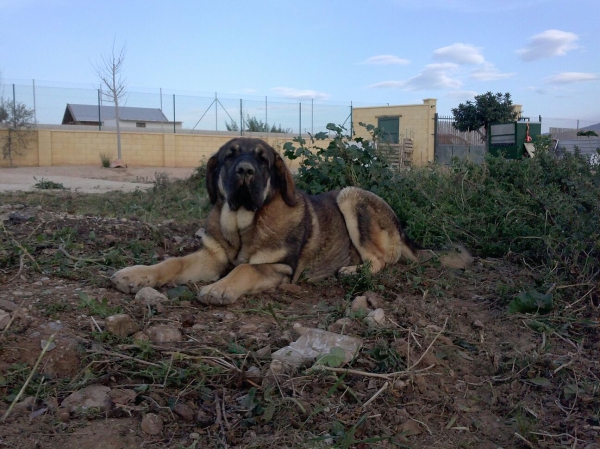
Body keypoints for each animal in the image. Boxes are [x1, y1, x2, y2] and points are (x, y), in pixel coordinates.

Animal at [110, 136, 472, 304]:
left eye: (264, 161)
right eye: (229, 156)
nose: (245, 171)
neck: (244, 222)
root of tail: (400, 226)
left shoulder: (279, 267)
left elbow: (244, 269)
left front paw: (220, 288)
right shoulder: (211, 257)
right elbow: (172, 262)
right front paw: (136, 275)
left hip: (351, 197)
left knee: (381, 261)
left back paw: (351, 270)